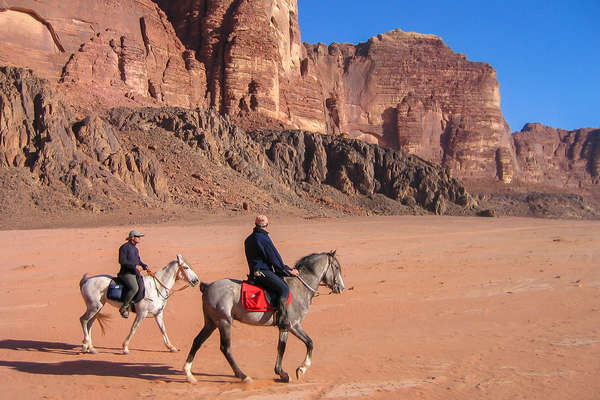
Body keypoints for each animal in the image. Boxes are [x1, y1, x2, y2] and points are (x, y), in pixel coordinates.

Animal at [183, 250, 344, 384]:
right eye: (336, 267)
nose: (341, 287)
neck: (300, 288)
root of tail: (208, 286)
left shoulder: (287, 327)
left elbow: (290, 346)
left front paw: (285, 372)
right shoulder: (292, 325)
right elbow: (303, 344)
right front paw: (298, 370)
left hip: (211, 322)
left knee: (197, 341)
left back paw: (189, 374)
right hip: (224, 322)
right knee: (225, 348)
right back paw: (243, 376)